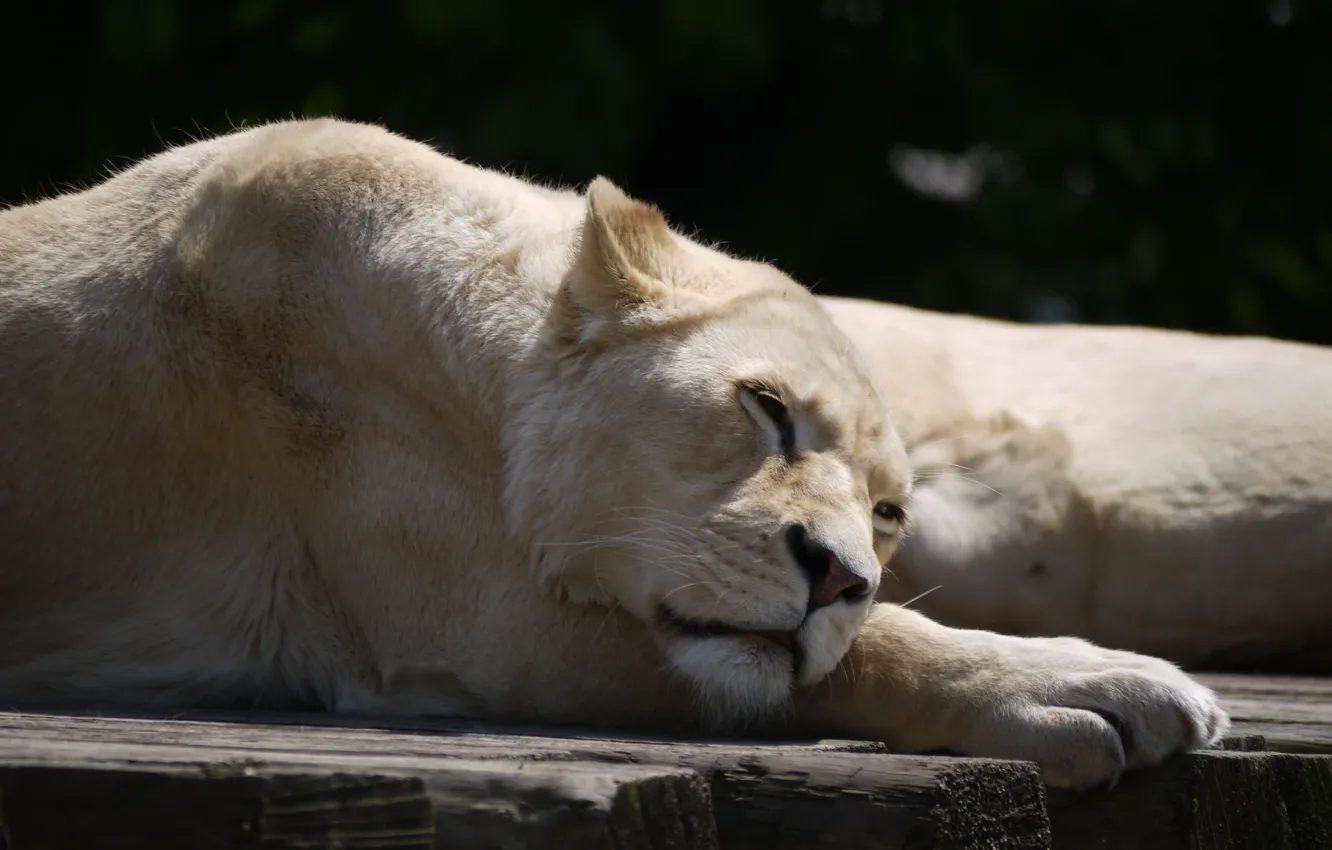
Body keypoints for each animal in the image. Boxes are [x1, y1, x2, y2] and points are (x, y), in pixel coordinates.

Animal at [0, 117, 1225, 789]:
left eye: (888, 514)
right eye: (768, 409)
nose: (839, 576)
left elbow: (844, 646)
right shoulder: (464, 634)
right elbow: (871, 649)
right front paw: (1104, 686)